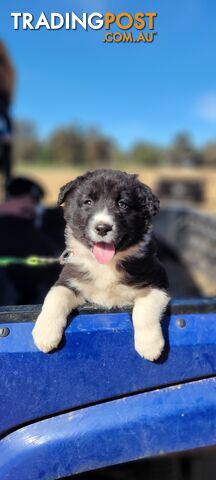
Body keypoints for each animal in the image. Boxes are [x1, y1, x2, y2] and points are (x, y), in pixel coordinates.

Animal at [33, 169, 170, 360]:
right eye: (88, 202)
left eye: (122, 204)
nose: (102, 228)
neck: (106, 264)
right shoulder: (70, 278)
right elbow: (55, 297)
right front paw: (44, 334)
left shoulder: (158, 281)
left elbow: (144, 311)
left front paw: (150, 345)